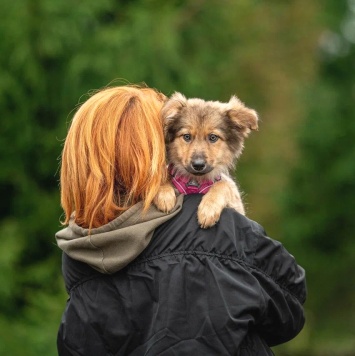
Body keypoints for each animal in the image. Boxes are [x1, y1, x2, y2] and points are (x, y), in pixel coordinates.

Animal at [154, 92, 260, 228]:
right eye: (187, 136)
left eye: (213, 137)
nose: (198, 165)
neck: (194, 183)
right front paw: (164, 194)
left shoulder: (236, 204)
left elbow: (224, 184)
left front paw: (208, 209)